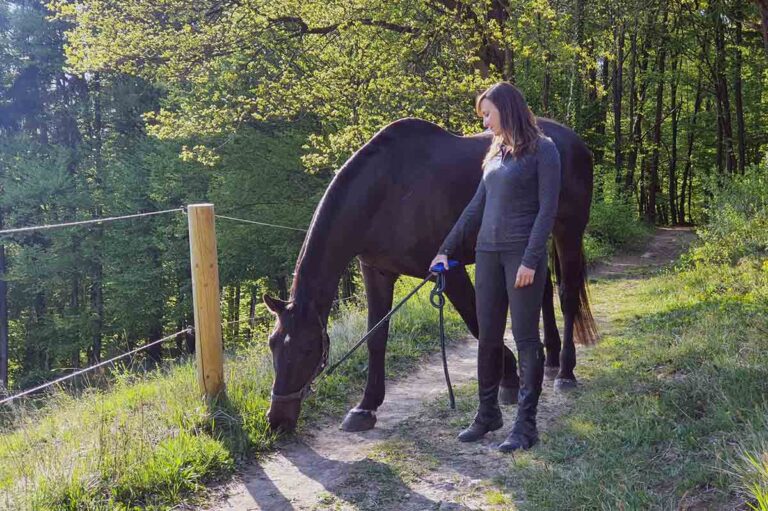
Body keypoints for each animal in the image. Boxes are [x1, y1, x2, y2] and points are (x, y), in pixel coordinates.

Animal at [263, 117, 598, 432]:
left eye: (308, 349)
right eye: (273, 343)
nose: (277, 420)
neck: (387, 191)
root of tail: (573, 140)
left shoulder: (450, 270)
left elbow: (478, 323)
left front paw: (509, 376)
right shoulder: (377, 272)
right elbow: (376, 337)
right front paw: (365, 407)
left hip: (567, 230)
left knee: (567, 296)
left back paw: (565, 372)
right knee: (543, 293)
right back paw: (550, 361)